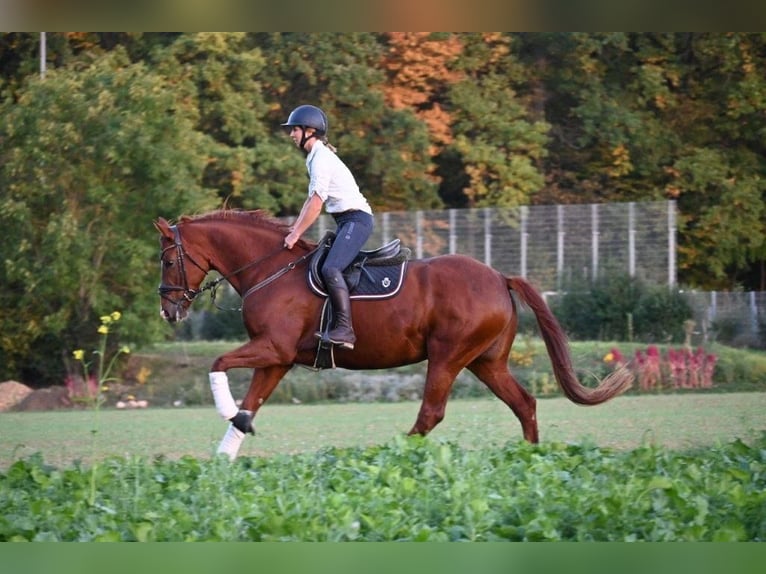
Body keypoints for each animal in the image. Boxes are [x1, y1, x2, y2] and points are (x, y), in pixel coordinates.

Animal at [156, 209, 636, 462]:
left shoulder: (272, 348)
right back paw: (529, 462)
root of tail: (500, 276)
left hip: (448, 356)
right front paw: (222, 461)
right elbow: (249, 409)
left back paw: (389, 457)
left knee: (431, 414)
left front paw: (224, 412)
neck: (269, 270)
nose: (168, 309)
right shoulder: (277, 358)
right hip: (485, 361)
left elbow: (219, 364)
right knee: (524, 404)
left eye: (167, 261)